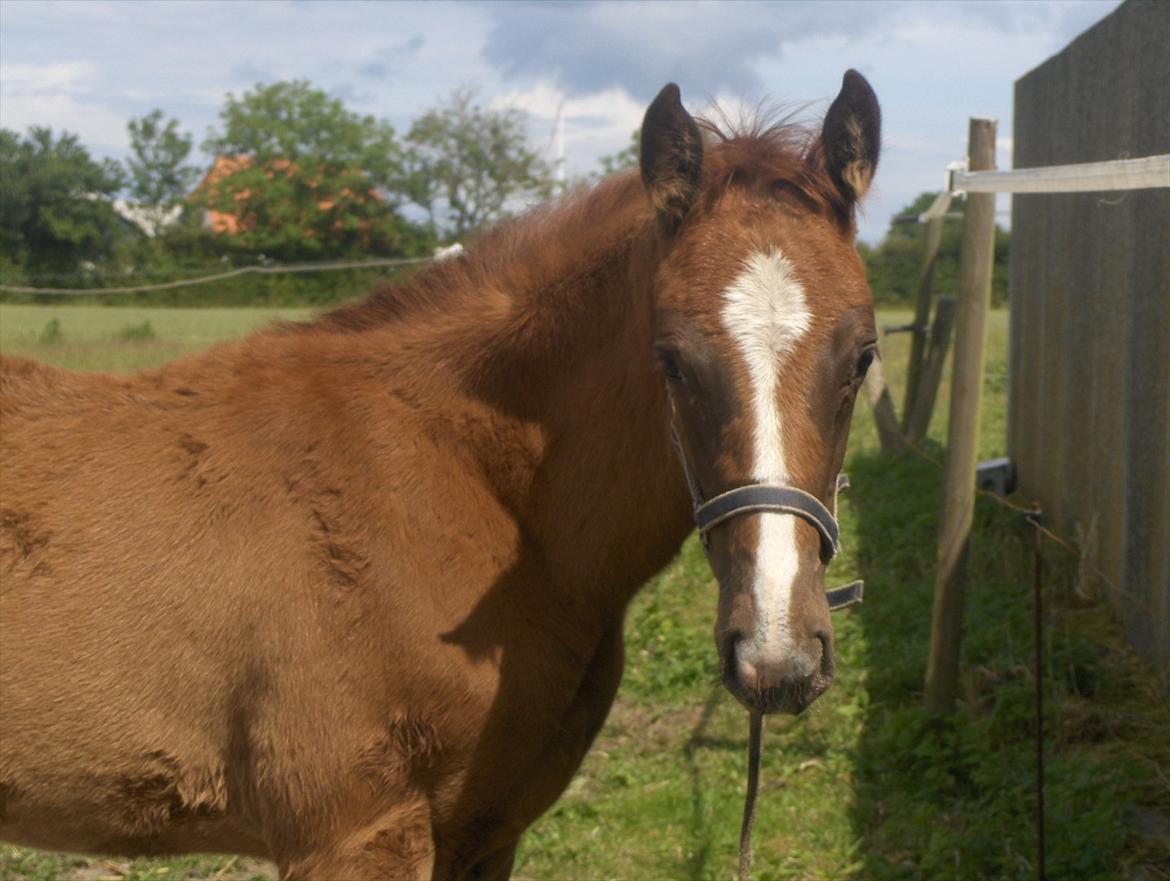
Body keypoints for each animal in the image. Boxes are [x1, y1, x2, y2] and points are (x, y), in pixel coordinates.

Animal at [0, 72, 879, 875]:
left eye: (864, 356)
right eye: (668, 359)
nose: (777, 655)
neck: (457, 487)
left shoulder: (487, 829)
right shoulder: (354, 834)